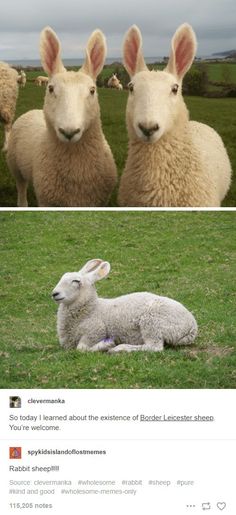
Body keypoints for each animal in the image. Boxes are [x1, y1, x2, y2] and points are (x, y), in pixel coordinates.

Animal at [6, 26, 117, 208]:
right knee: (21, 187)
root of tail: (32, 111)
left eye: (92, 90)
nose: (69, 132)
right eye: (50, 89)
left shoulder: (100, 200)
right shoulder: (46, 200)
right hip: (15, 166)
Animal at [51, 258, 197, 354]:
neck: (92, 309)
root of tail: (192, 326)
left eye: (76, 281)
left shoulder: (95, 330)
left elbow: (81, 349)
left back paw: (120, 348)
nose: (54, 293)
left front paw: (105, 345)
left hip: (153, 323)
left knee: (154, 347)